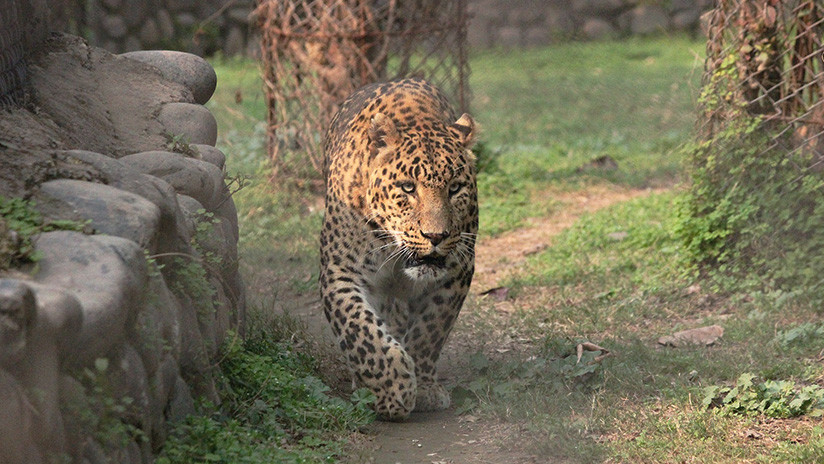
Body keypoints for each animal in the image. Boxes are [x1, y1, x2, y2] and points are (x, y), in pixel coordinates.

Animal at [320, 79, 476, 420]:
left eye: (455, 188)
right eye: (407, 187)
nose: (436, 235)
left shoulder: (458, 270)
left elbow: (430, 330)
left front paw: (425, 386)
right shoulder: (340, 272)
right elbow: (361, 331)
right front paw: (393, 390)